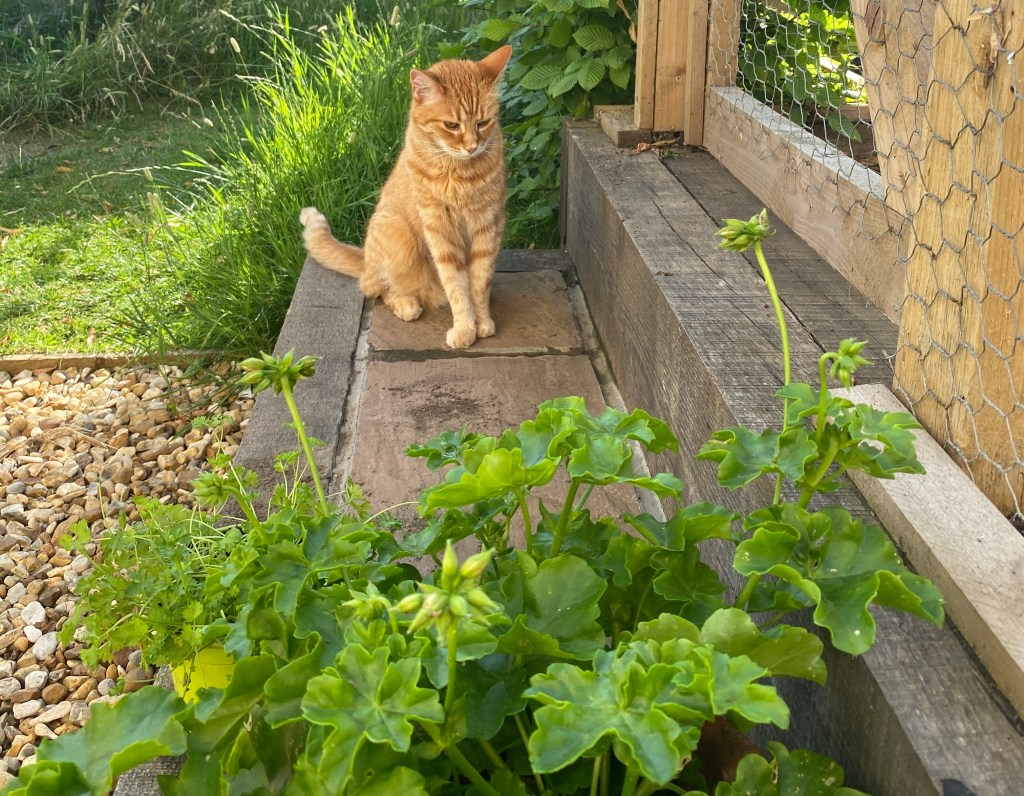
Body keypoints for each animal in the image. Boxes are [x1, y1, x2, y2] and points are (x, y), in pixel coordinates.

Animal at [300, 45, 513, 349]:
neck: (460, 173)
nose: (472, 147)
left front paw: (481, 322)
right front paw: (465, 327)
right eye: (451, 125)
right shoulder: (439, 230)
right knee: (375, 288)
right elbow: (456, 287)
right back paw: (407, 305)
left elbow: (479, 282)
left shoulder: (489, 225)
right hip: (399, 236)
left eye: (483, 123)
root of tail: (365, 259)